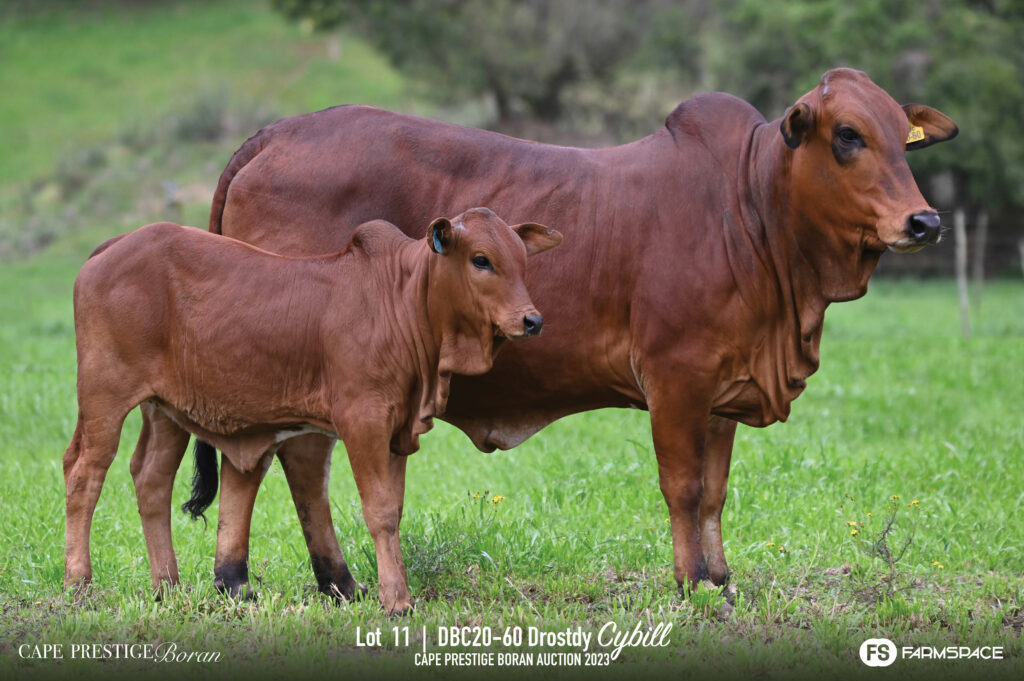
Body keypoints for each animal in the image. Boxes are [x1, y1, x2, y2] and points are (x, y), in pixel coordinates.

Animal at [63, 209, 562, 613]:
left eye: (521, 260)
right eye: (481, 260)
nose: (532, 320)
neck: (401, 300)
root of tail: (112, 246)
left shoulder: (398, 433)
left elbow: (394, 510)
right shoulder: (363, 422)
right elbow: (379, 510)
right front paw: (396, 601)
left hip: (165, 412)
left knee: (151, 479)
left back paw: (168, 586)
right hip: (103, 397)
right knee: (84, 473)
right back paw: (79, 583)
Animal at [142, 67, 955, 603]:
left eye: (903, 139)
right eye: (847, 136)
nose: (924, 221)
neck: (751, 211)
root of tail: (275, 133)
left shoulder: (723, 387)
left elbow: (718, 491)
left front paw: (722, 579)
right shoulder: (677, 377)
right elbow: (685, 486)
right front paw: (690, 584)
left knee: (274, 459)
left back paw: (293, 581)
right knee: (284, 461)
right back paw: (272, 579)